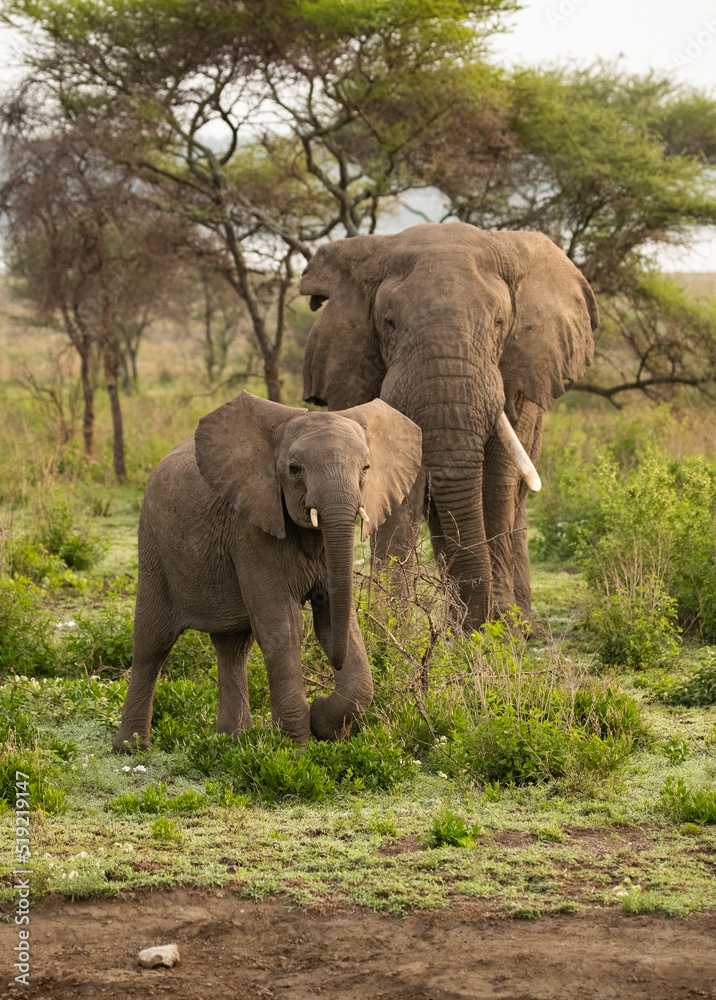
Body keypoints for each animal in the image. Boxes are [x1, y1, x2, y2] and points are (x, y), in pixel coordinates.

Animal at [114, 390, 422, 752]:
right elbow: (284, 627)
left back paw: (234, 741)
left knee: (233, 645)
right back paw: (131, 748)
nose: (332, 671)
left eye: (366, 468)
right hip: (153, 546)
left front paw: (323, 723)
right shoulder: (250, 531)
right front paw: (296, 750)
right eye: (294, 469)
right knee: (152, 642)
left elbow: (337, 623)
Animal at [300, 223, 600, 628]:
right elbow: (392, 488)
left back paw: (521, 626)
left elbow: (496, 482)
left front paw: (499, 629)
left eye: (499, 324)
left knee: (514, 497)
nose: (478, 625)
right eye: (389, 323)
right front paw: (387, 626)